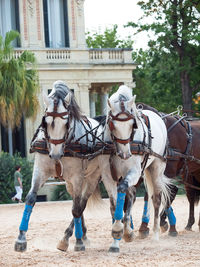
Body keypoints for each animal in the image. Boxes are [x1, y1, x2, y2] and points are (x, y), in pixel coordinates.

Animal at [104, 86, 172, 243]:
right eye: (112, 124)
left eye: (133, 125)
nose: (125, 154)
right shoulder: (108, 175)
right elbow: (114, 201)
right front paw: (121, 228)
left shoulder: (134, 172)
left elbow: (123, 191)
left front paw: (122, 229)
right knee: (132, 195)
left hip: (157, 167)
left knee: (156, 199)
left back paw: (155, 233)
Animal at [138, 103, 200, 238]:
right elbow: (151, 195)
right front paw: (144, 226)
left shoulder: (168, 171)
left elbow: (168, 192)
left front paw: (166, 224)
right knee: (191, 196)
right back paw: (190, 223)